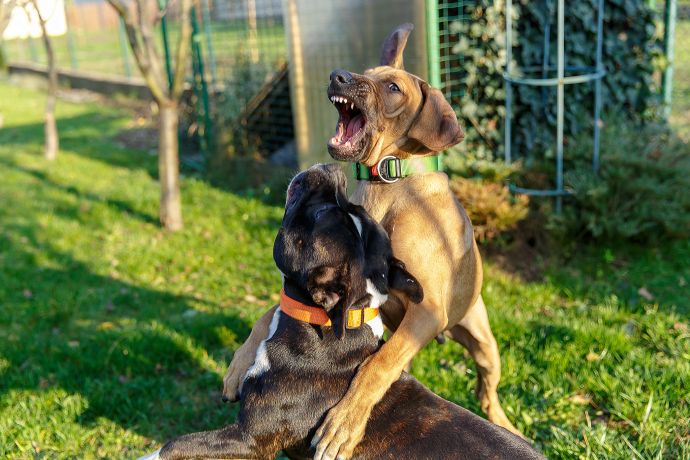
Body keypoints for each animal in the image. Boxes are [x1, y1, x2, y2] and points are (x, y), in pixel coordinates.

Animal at [223, 22, 524, 460]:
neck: (391, 185)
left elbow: (378, 365)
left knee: (486, 386)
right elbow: (271, 310)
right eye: (365, 72)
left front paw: (344, 423)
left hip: (481, 342)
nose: (338, 76)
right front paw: (240, 361)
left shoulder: (427, 310)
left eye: (394, 88)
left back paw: (502, 420)